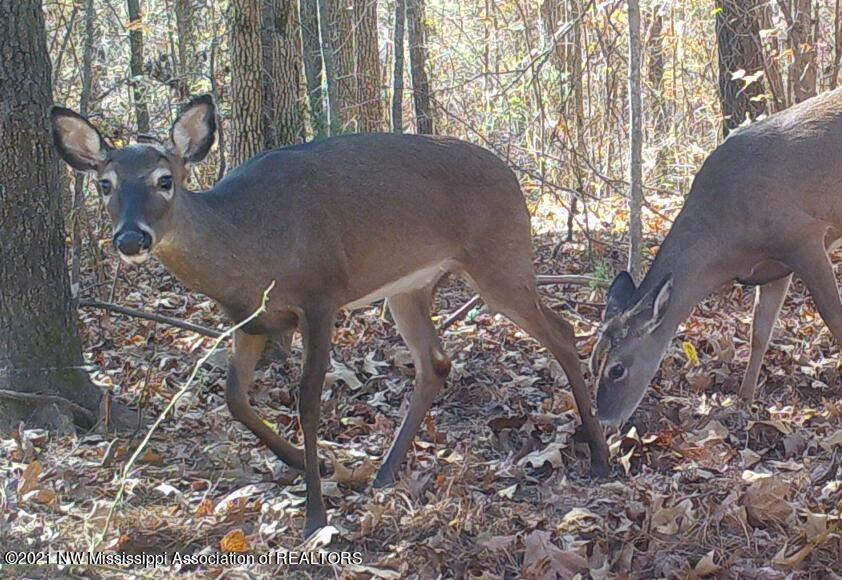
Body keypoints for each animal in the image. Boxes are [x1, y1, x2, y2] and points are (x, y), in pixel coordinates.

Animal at [51, 94, 610, 537]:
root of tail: (514, 175)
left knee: (562, 332)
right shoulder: (249, 320)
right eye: (104, 185)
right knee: (435, 363)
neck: (249, 243)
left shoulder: (321, 296)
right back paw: (383, 473)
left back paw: (601, 458)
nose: (130, 238)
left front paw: (315, 514)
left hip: (500, 257)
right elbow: (235, 399)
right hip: (408, 287)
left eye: (164, 179)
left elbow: (307, 399)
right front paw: (314, 463)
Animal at [591, 87, 842, 428]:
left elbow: (834, 318)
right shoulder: (775, 267)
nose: (604, 422)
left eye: (617, 369)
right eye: (592, 362)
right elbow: (759, 332)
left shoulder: (803, 235)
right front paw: (743, 402)